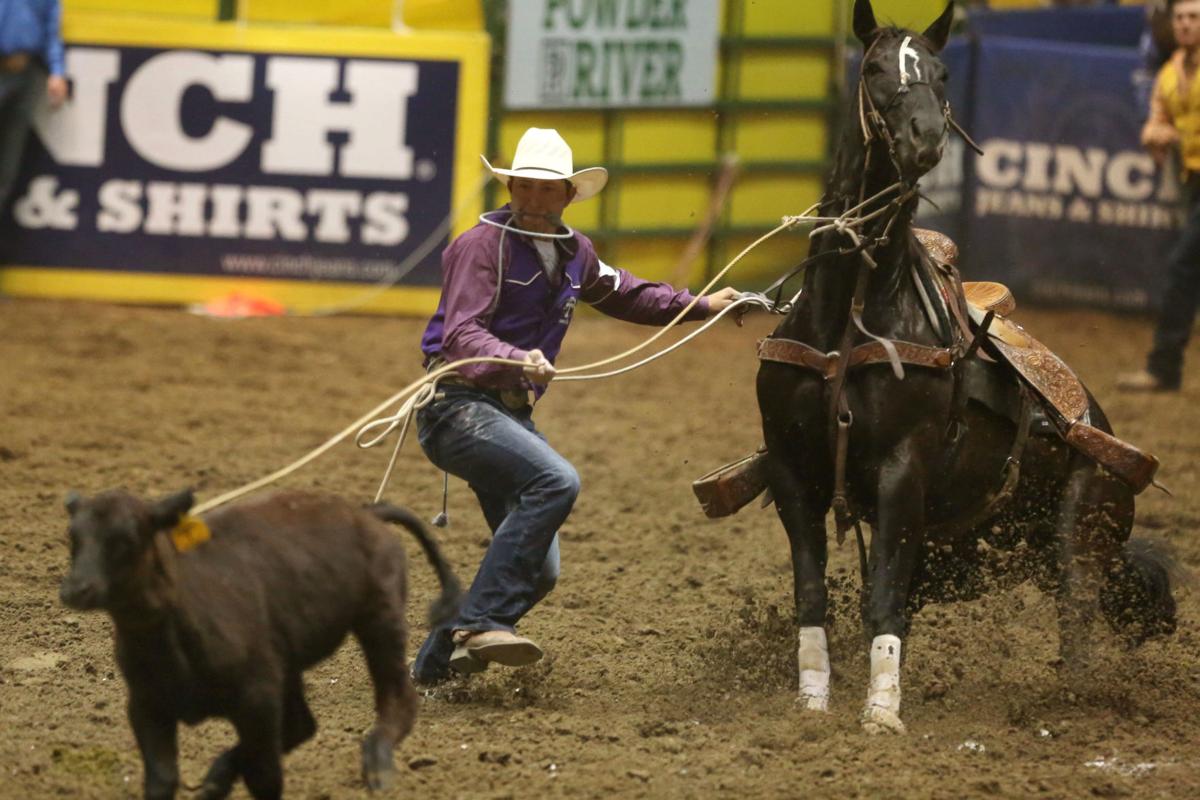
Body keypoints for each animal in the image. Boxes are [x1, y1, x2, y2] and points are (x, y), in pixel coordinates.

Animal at [753, 0, 1176, 734]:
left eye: (943, 73)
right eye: (873, 67)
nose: (925, 138)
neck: (852, 316)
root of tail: (1099, 422)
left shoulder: (902, 472)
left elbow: (884, 600)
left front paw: (880, 715)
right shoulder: (792, 468)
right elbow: (813, 594)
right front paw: (813, 703)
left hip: (1079, 534)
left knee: (1078, 624)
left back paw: (1072, 705)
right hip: (969, 547)